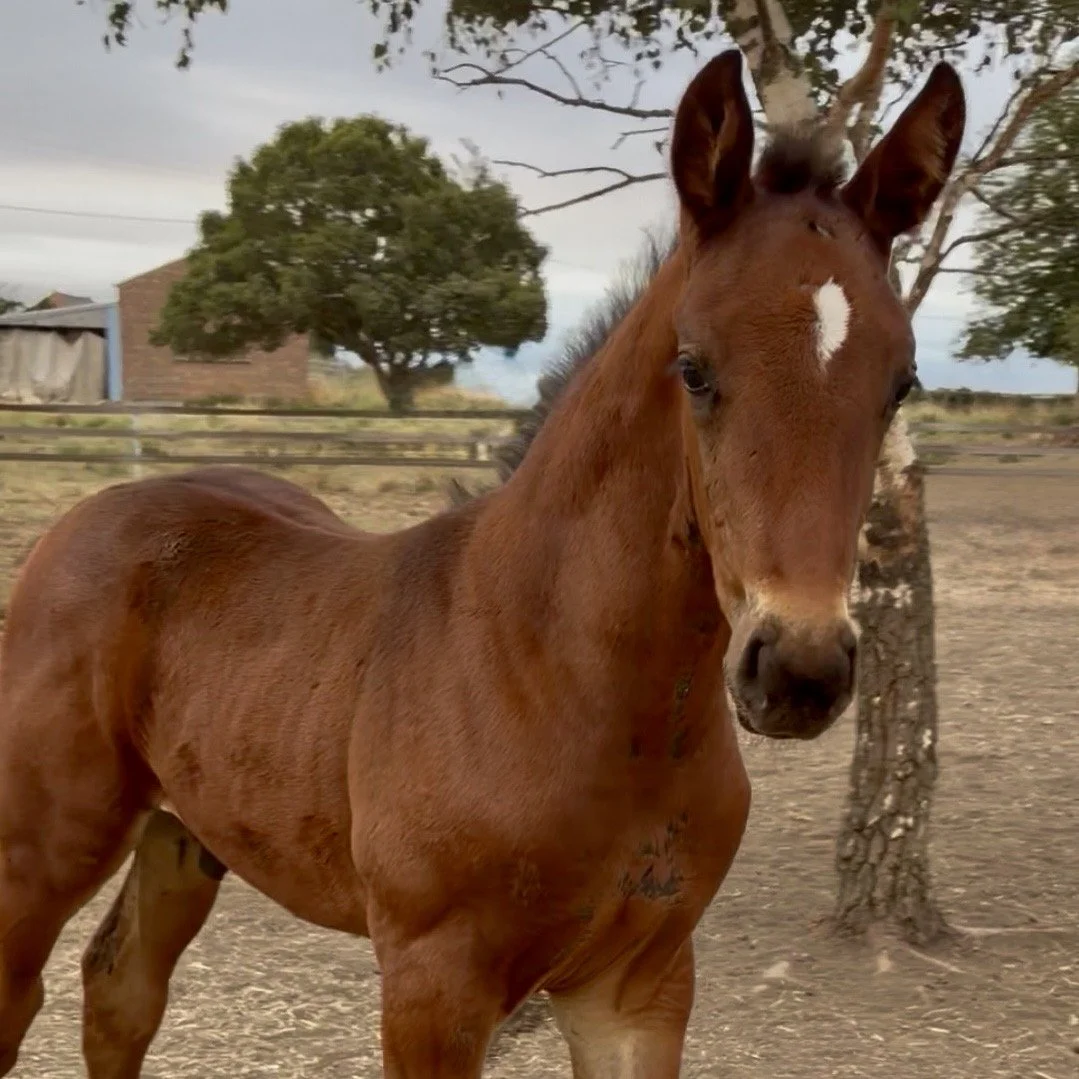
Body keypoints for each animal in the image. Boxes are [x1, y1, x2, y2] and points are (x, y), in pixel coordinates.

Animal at [0, 50, 964, 1078]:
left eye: (900, 381)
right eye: (694, 368)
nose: (798, 668)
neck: (557, 675)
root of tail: (81, 519)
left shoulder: (639, 988)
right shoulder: (435, 989)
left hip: (184, 834)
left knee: (120, 989)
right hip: (41, 855)